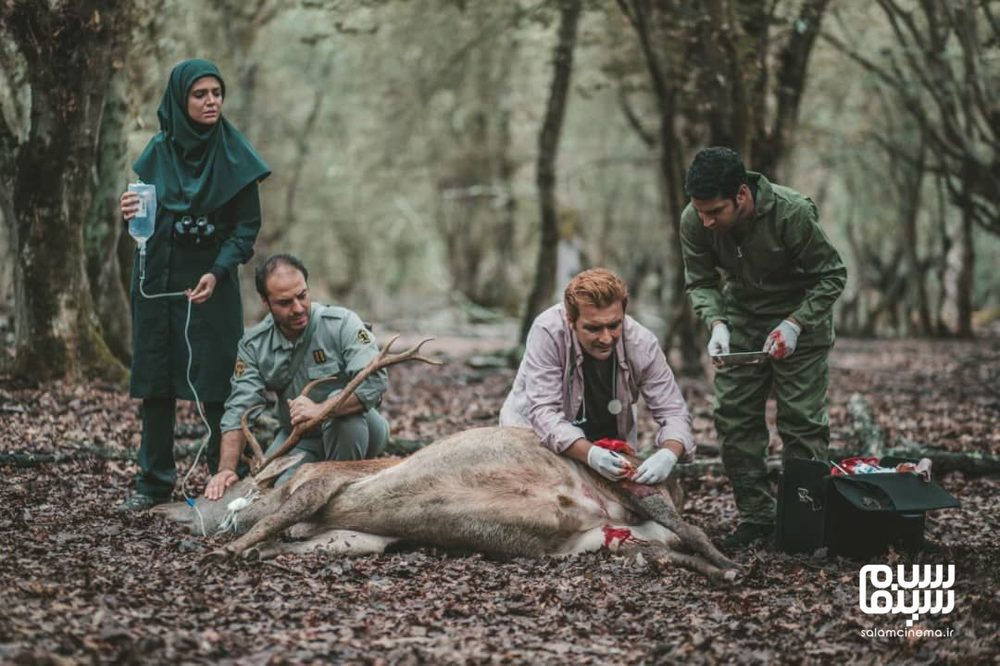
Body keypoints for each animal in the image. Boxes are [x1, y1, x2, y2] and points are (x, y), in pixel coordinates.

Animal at [152, 338, 740, 576]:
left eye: (230, 493)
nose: (165, 509)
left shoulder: (324, 482)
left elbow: (273, 519)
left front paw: (225, 551)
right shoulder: (360, 536)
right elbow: (296, 543)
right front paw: (253, 552)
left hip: (629, 477)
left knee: (693, 527)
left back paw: (734, 565)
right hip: (608, 539)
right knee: (659, 548)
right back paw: (716, 572)